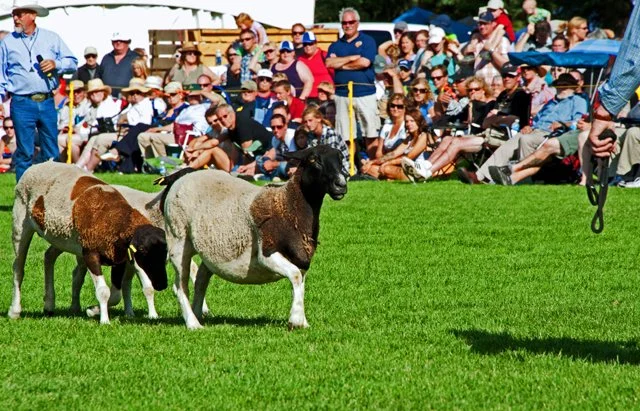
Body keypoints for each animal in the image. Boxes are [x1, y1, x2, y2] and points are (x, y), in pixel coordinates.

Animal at [9, 162, 168, 325]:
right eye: (144, 253)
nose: (163, 285)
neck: (115, 220)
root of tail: (37, 165)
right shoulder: (90, 254)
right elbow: (104, 291)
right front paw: (103, 320)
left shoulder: (122, 259)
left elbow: (124, 292)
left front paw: (94, 311)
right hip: (21, 225)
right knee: (18, 268)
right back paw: (15, 311)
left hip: (62, 240)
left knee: (49, 257)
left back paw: (50, 305)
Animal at [158, 145, 347, 330]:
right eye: (314, 160)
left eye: (341, 159)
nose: (341, 185)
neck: (285, 204)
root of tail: (183, 177)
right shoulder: (267, 253)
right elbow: (295, 276)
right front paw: (295, 320)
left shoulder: (301, 259)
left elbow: (300, 284)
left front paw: (302, 320)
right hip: (178, 240)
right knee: (181, 286)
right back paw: (193, 323)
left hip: (211, 249)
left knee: (201, 280)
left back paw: (197, 314)